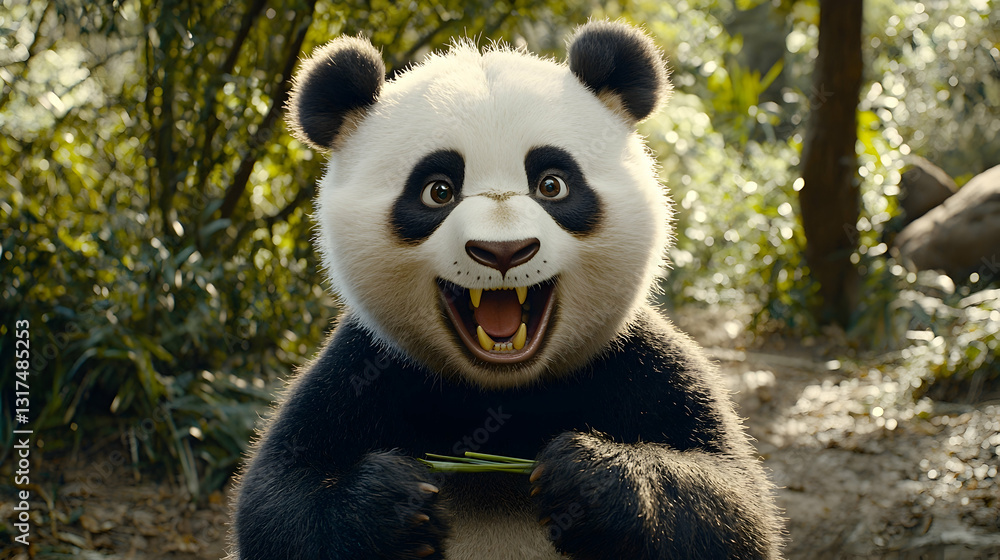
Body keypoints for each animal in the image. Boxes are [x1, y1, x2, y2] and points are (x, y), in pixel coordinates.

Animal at [230, 20, 783, 560]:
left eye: (552, 184)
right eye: (437, 191)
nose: (503, 251)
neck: (502, 395)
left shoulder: (639, 364)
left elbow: (732, 504)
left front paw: (584, 482)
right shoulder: (366, 370)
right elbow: (278, 502)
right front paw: (398, 506)